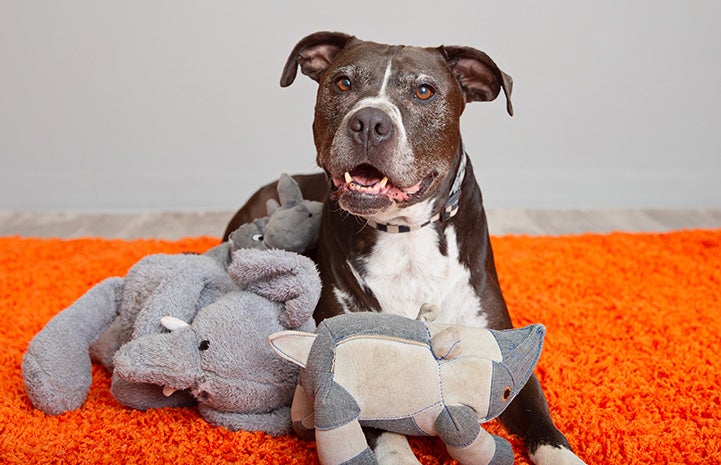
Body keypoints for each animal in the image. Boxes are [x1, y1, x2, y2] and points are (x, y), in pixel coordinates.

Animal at [225, 30, 584, 462]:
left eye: (424, 91)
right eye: (343, 83)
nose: (369, 122)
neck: (406, 234)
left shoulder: (503, 348)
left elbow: (541, 420)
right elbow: (384, 429)